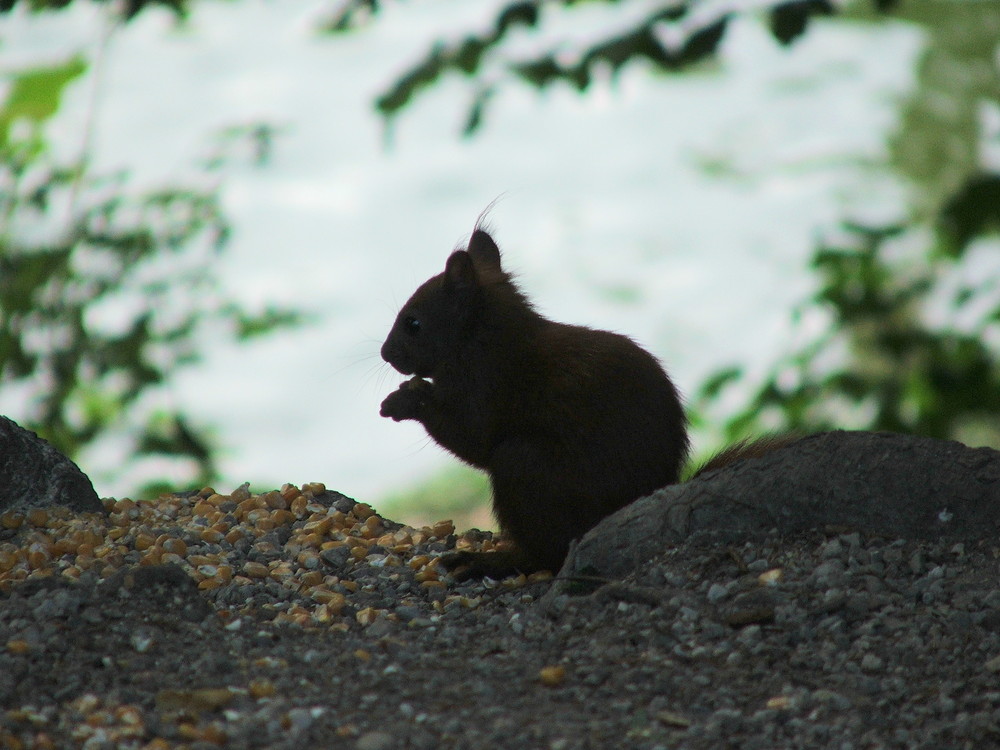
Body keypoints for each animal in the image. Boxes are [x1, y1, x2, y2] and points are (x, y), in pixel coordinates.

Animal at [378, 226, 776, 580]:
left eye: (413, 323)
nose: (384, 353)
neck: (482, 340)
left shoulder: (487, 388)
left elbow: (472, 439)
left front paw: (405, 400)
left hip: (525, 468)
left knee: (546, 554)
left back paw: (491, 561)